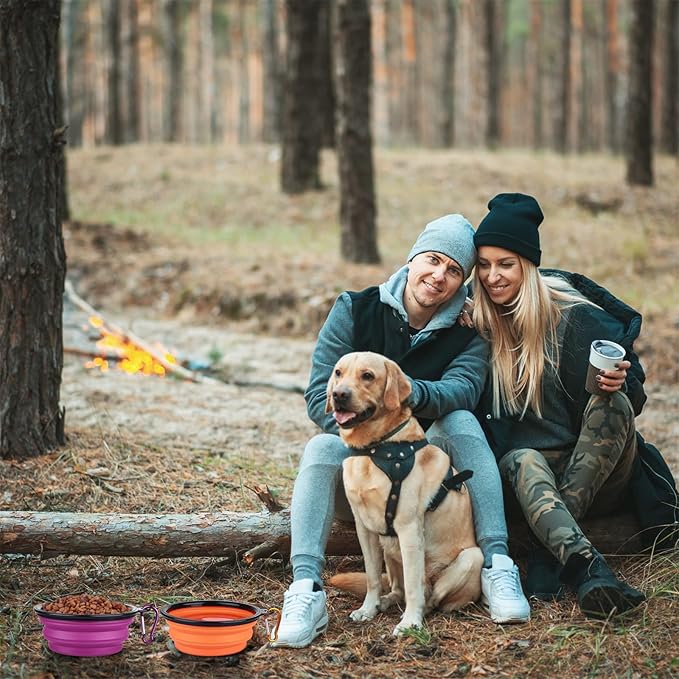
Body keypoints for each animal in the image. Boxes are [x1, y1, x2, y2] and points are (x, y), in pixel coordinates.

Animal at [328, 354, 484, 636]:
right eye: (338, 372)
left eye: (367, 376)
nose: (339, 394)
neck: (376, 450)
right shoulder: (364, 529)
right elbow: (372, 577)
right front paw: (367, 608)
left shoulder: (409, 528)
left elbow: (413, 586)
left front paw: (410, 622)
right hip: (389, 551)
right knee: (397, 588)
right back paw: (385, 601)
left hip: (471, 557)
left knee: (430, 593)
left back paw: (420, 609)